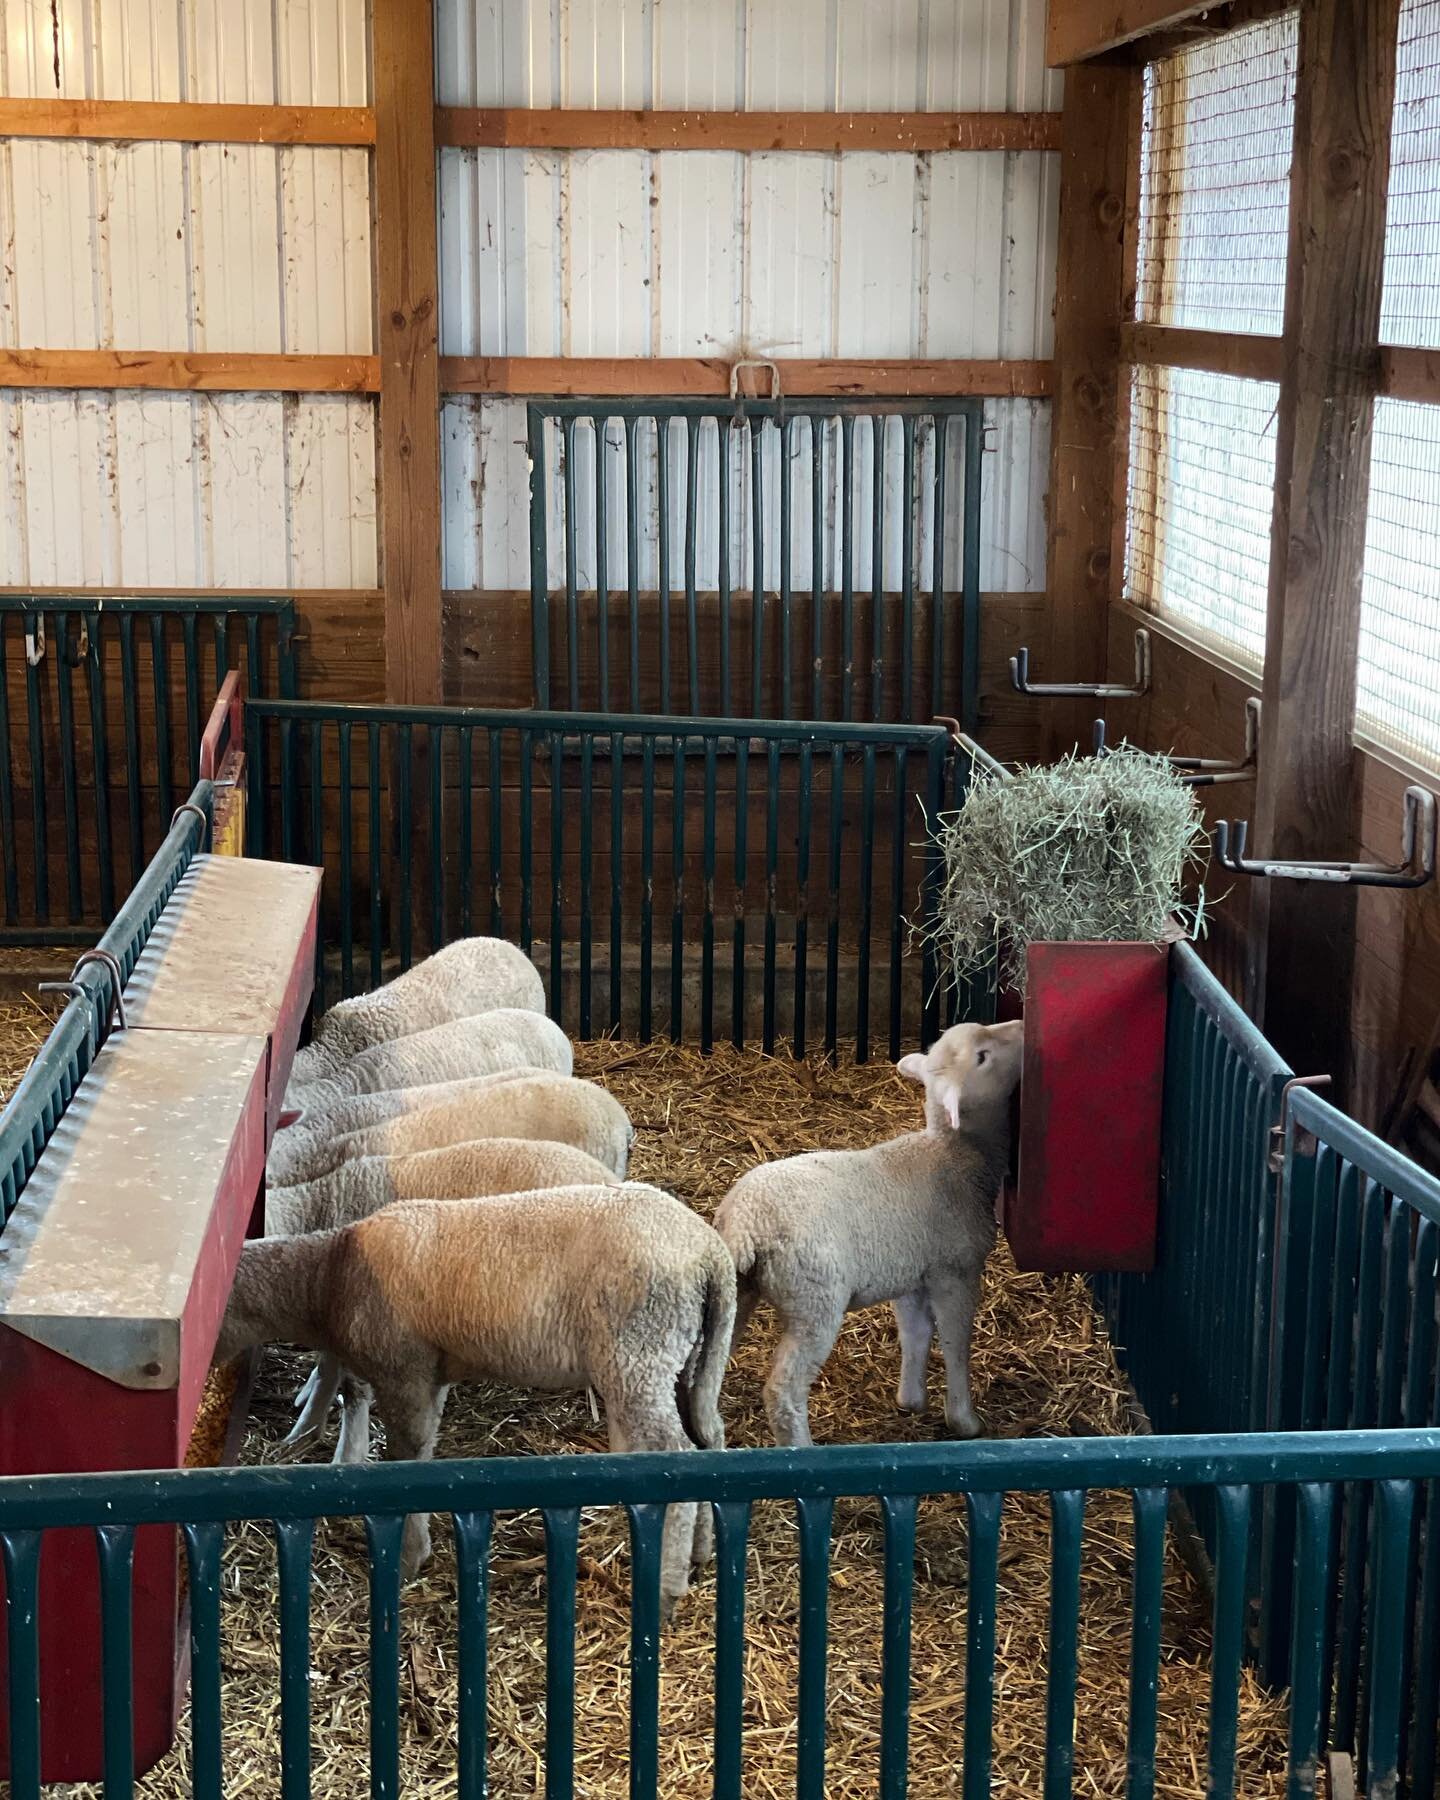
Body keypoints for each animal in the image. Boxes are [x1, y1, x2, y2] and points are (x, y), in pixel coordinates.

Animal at [215, 1183, 735, 1616]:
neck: (329, 1275)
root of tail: (711, 1255)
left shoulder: (404, 1372)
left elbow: (404, 1462)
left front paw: (408, 1558)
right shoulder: (431, 1377)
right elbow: (420, 1452)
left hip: (638, 1352)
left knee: (676, 1453)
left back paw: (667, 1591)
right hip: (685, 1357)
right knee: (708, 1438)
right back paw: (701, 1554)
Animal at [713, 1019, 1024, 1449]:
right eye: (982, 1057)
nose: (1022, 1026)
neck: (957, 1155)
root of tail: (747, 1223)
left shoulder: (912, 1274)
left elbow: (916, 1333)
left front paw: (911, 1400)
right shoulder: (955, 1270)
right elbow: (956, 1341)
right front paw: (964, 1419)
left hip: (738, 1291)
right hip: (814, 1300)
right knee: (784, 1389)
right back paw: (801, 1448)